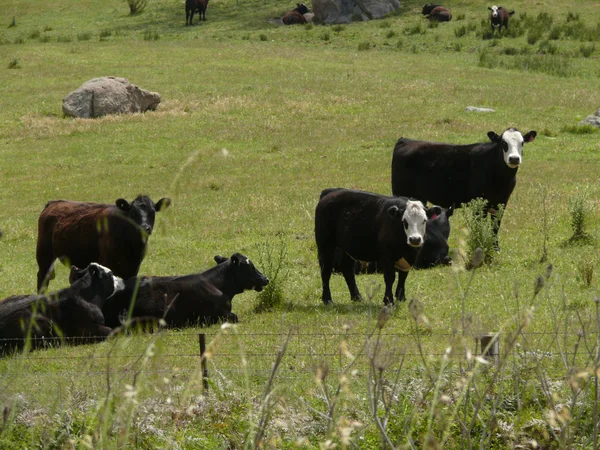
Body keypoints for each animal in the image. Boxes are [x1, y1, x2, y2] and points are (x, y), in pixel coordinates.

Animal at [36, 193, 170, 292]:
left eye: (152, 212)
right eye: (132, 213)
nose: (144, 227)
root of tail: (53, 203)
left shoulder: (133, 269)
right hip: (44, 255)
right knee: (42, 279)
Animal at [392, 128, 536, 251]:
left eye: (522, 142)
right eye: (503, 143)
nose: (514, 158)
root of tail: (405, 140)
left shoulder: (502, 202)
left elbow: (495, 226)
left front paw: (496, 249)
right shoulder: (479, 201)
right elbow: (479, 224)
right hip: (401, 192)